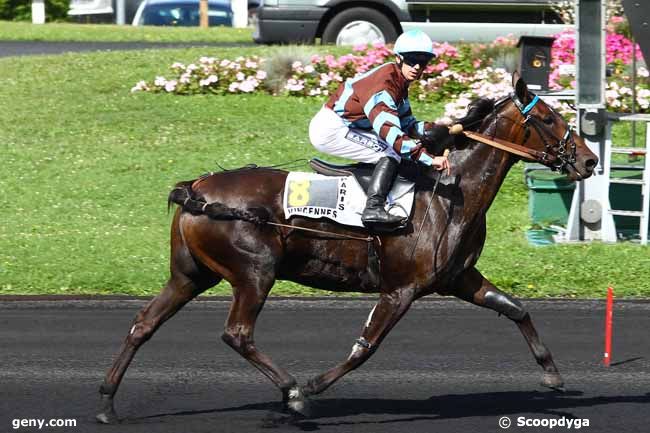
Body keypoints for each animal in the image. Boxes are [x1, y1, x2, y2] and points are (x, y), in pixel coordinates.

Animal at [96, 73, 596, 422]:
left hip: (190, 274)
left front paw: (552, 373)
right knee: (236, 333)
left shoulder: (458, 278)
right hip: (254, 273)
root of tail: (197, 187)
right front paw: (311, 388)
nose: (590, 160)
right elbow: (365, 347)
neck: (450, 193)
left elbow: (514, 308)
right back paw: (291, 391)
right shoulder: (401, 289)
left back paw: (106, 402)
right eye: (548, 118)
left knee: (143, 324)